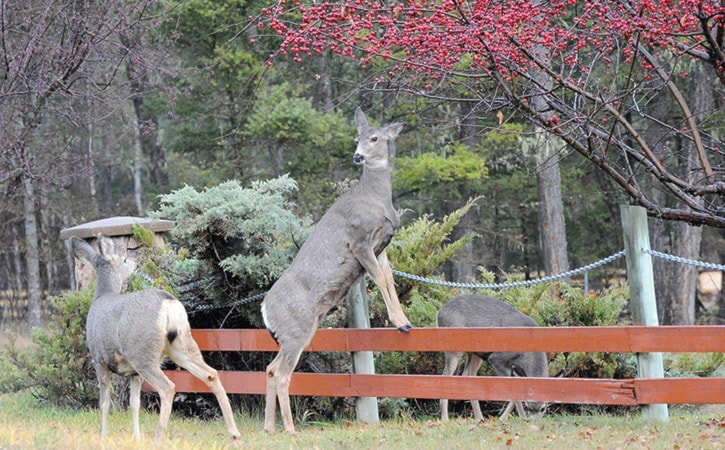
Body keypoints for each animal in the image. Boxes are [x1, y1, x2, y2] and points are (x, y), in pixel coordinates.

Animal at [69, 234, 242, 444]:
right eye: (124, 259)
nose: (135, 264)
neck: (103, 296)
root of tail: (168, 302)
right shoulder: (133, 373)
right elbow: (134, 404)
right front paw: (137, 438)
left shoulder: (98, 358)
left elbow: (104, 402)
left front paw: (103, 435)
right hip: (181, 344)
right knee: (211, 374)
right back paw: (235, 435)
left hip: (143, 353)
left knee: (168, 387)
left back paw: (158, 437)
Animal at [260, 107, 410, 434]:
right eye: (357, 138)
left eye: (374, 138)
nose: (357, 156)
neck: (376, 198)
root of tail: (264, 309)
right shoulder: (359, 240)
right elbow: (380, 280)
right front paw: (399, 322)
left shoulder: (381, 246)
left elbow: (389, 279)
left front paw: (404, 321)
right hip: (296, 329)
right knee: (281, 372)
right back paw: (290, 428)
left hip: (298, 331)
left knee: (270, 368)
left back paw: (269, 427)